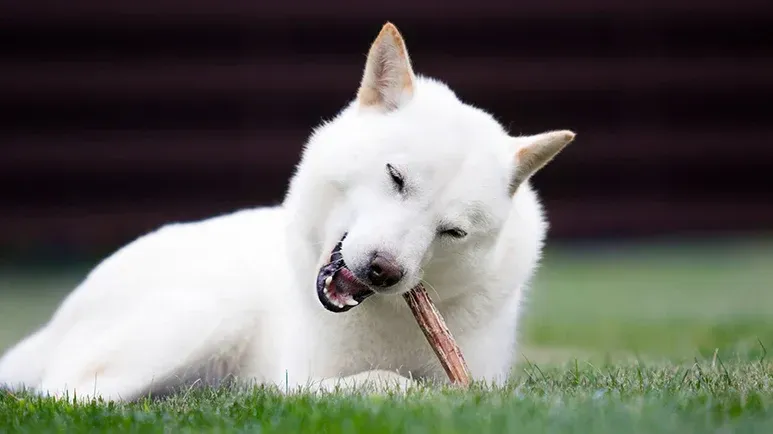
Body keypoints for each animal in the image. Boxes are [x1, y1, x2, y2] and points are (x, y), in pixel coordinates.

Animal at [0, 22, 572, 402]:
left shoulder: (479, 372)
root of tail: (58, 320)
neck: (385, 317)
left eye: (452, 232)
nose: (383, 271)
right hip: (210, 313)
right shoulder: (301, 379)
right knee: (67, 393)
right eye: (396, 177)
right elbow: (386, 382)